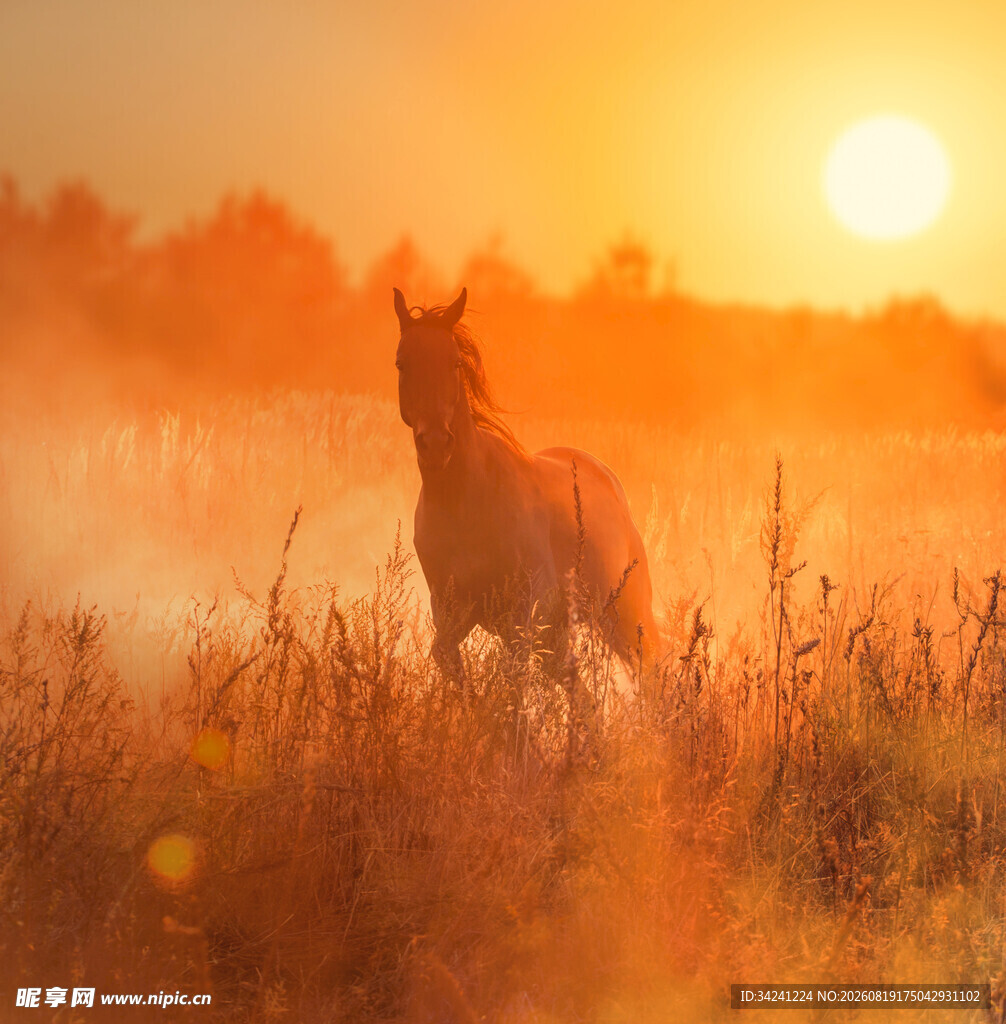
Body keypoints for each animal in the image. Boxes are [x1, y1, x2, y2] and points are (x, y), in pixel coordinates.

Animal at [394, 286, 658, 684]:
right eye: (402, 363)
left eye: (455, 363)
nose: (436, 444)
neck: (465, 501)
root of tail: (607, 477)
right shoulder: (452, 613)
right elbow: (449, 663)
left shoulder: (522, 614)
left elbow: (514, 679)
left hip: (623, 615)